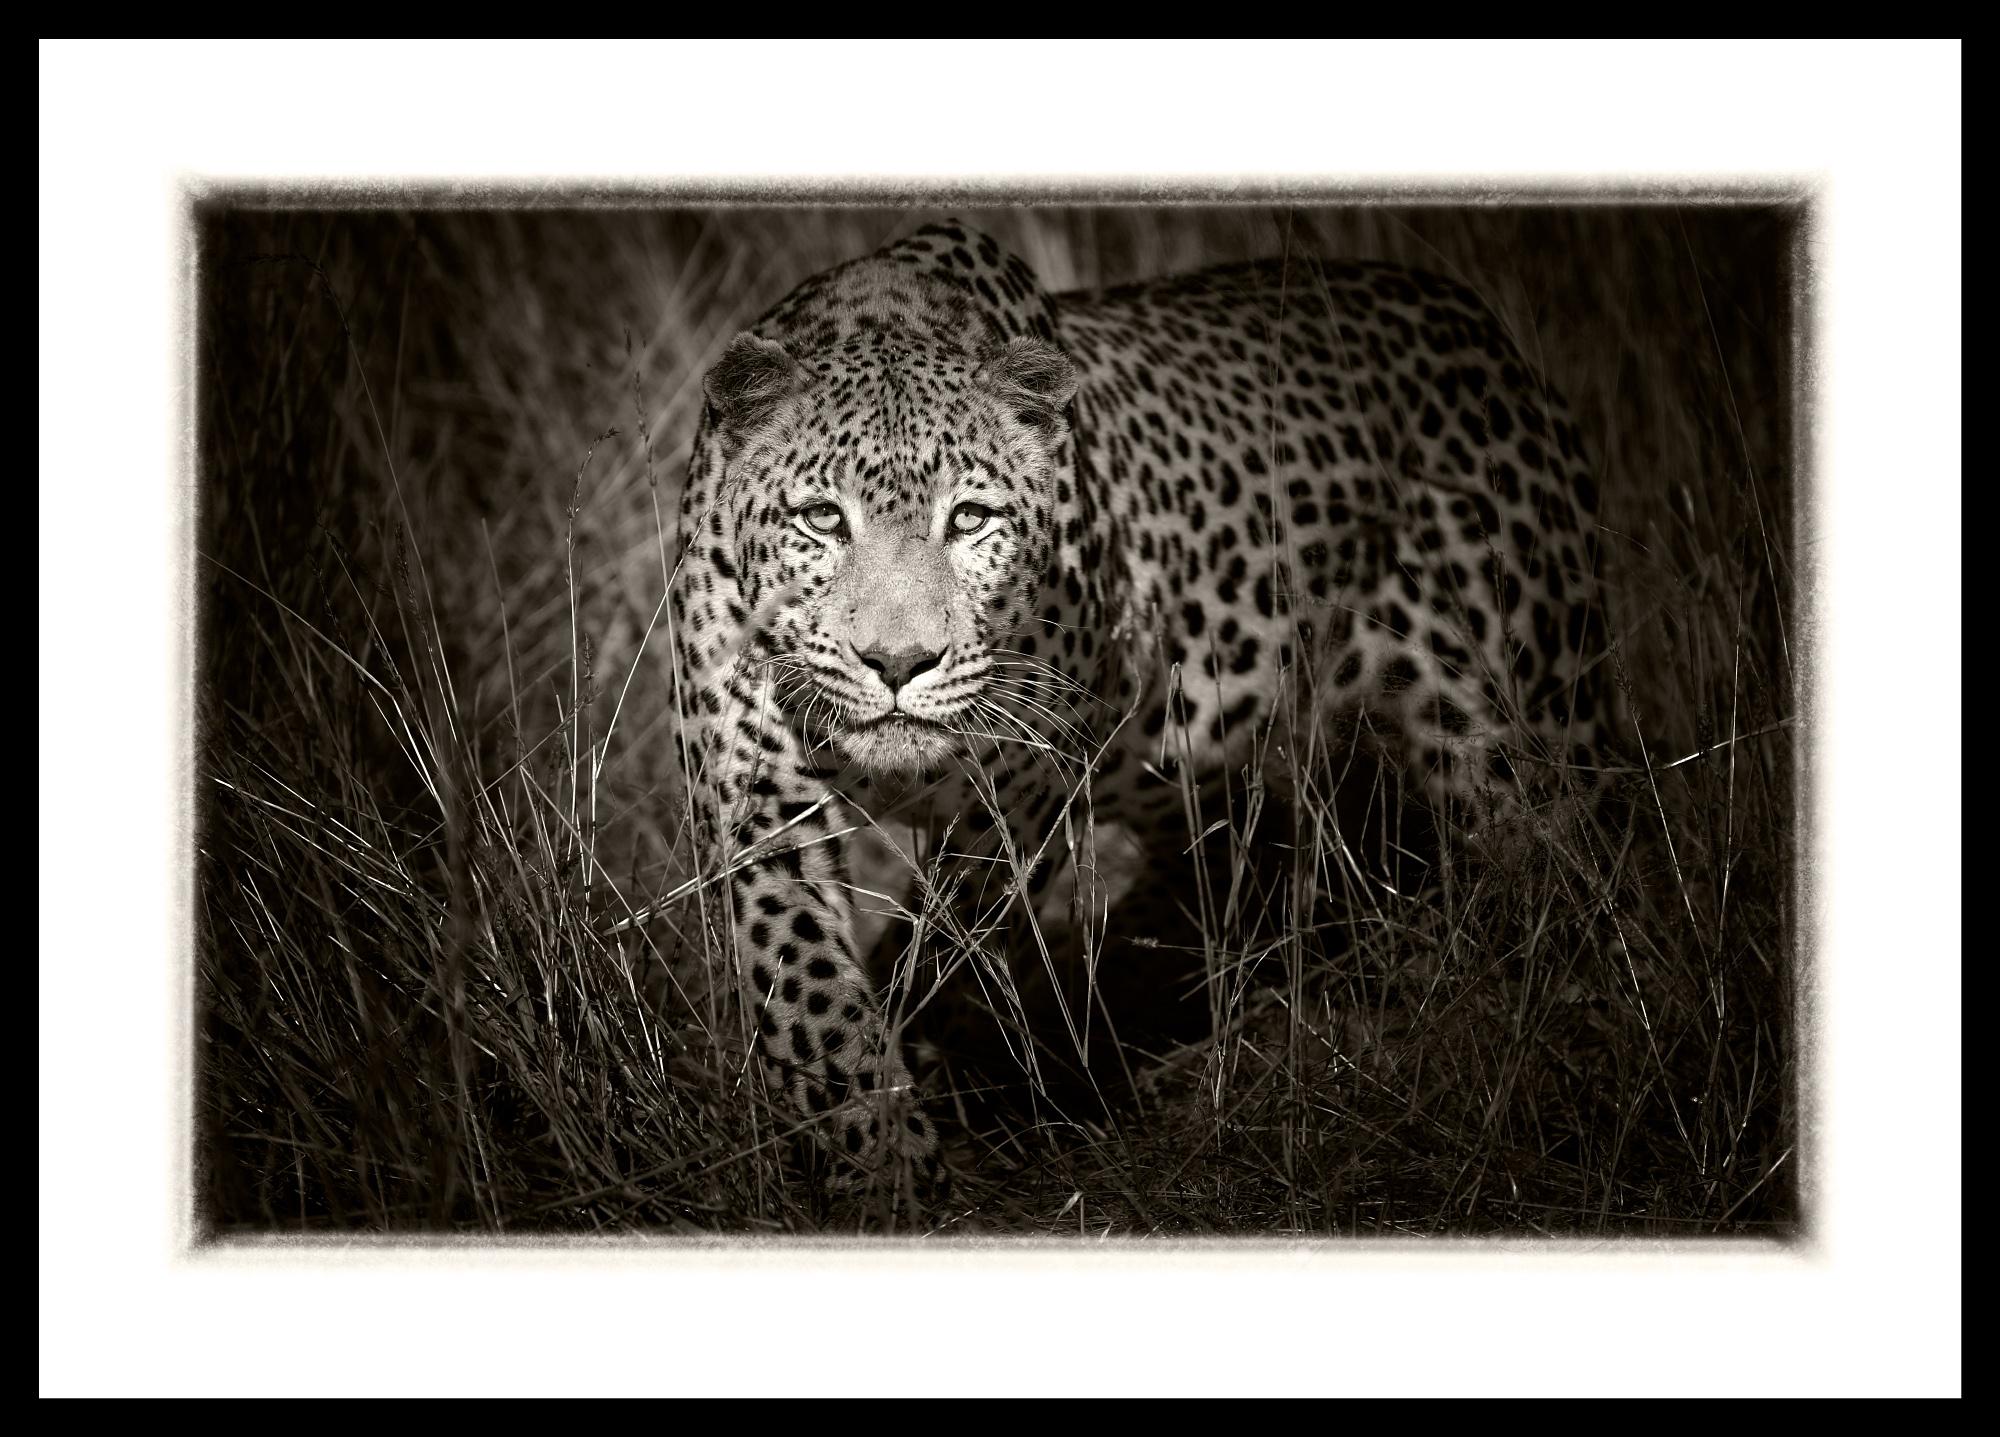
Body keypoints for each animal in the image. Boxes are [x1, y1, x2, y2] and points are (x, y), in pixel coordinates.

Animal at [664, 217, 1616, 1200]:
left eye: (969, 519)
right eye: (821, 518)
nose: (898, 662)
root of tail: (1479, 323)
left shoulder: (1022, 800)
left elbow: (953, 941)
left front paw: (913, 1087)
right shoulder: (755, 792)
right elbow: (805, 980)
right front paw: (878, 1152)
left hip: (1522, 721)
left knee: (1571, 882)